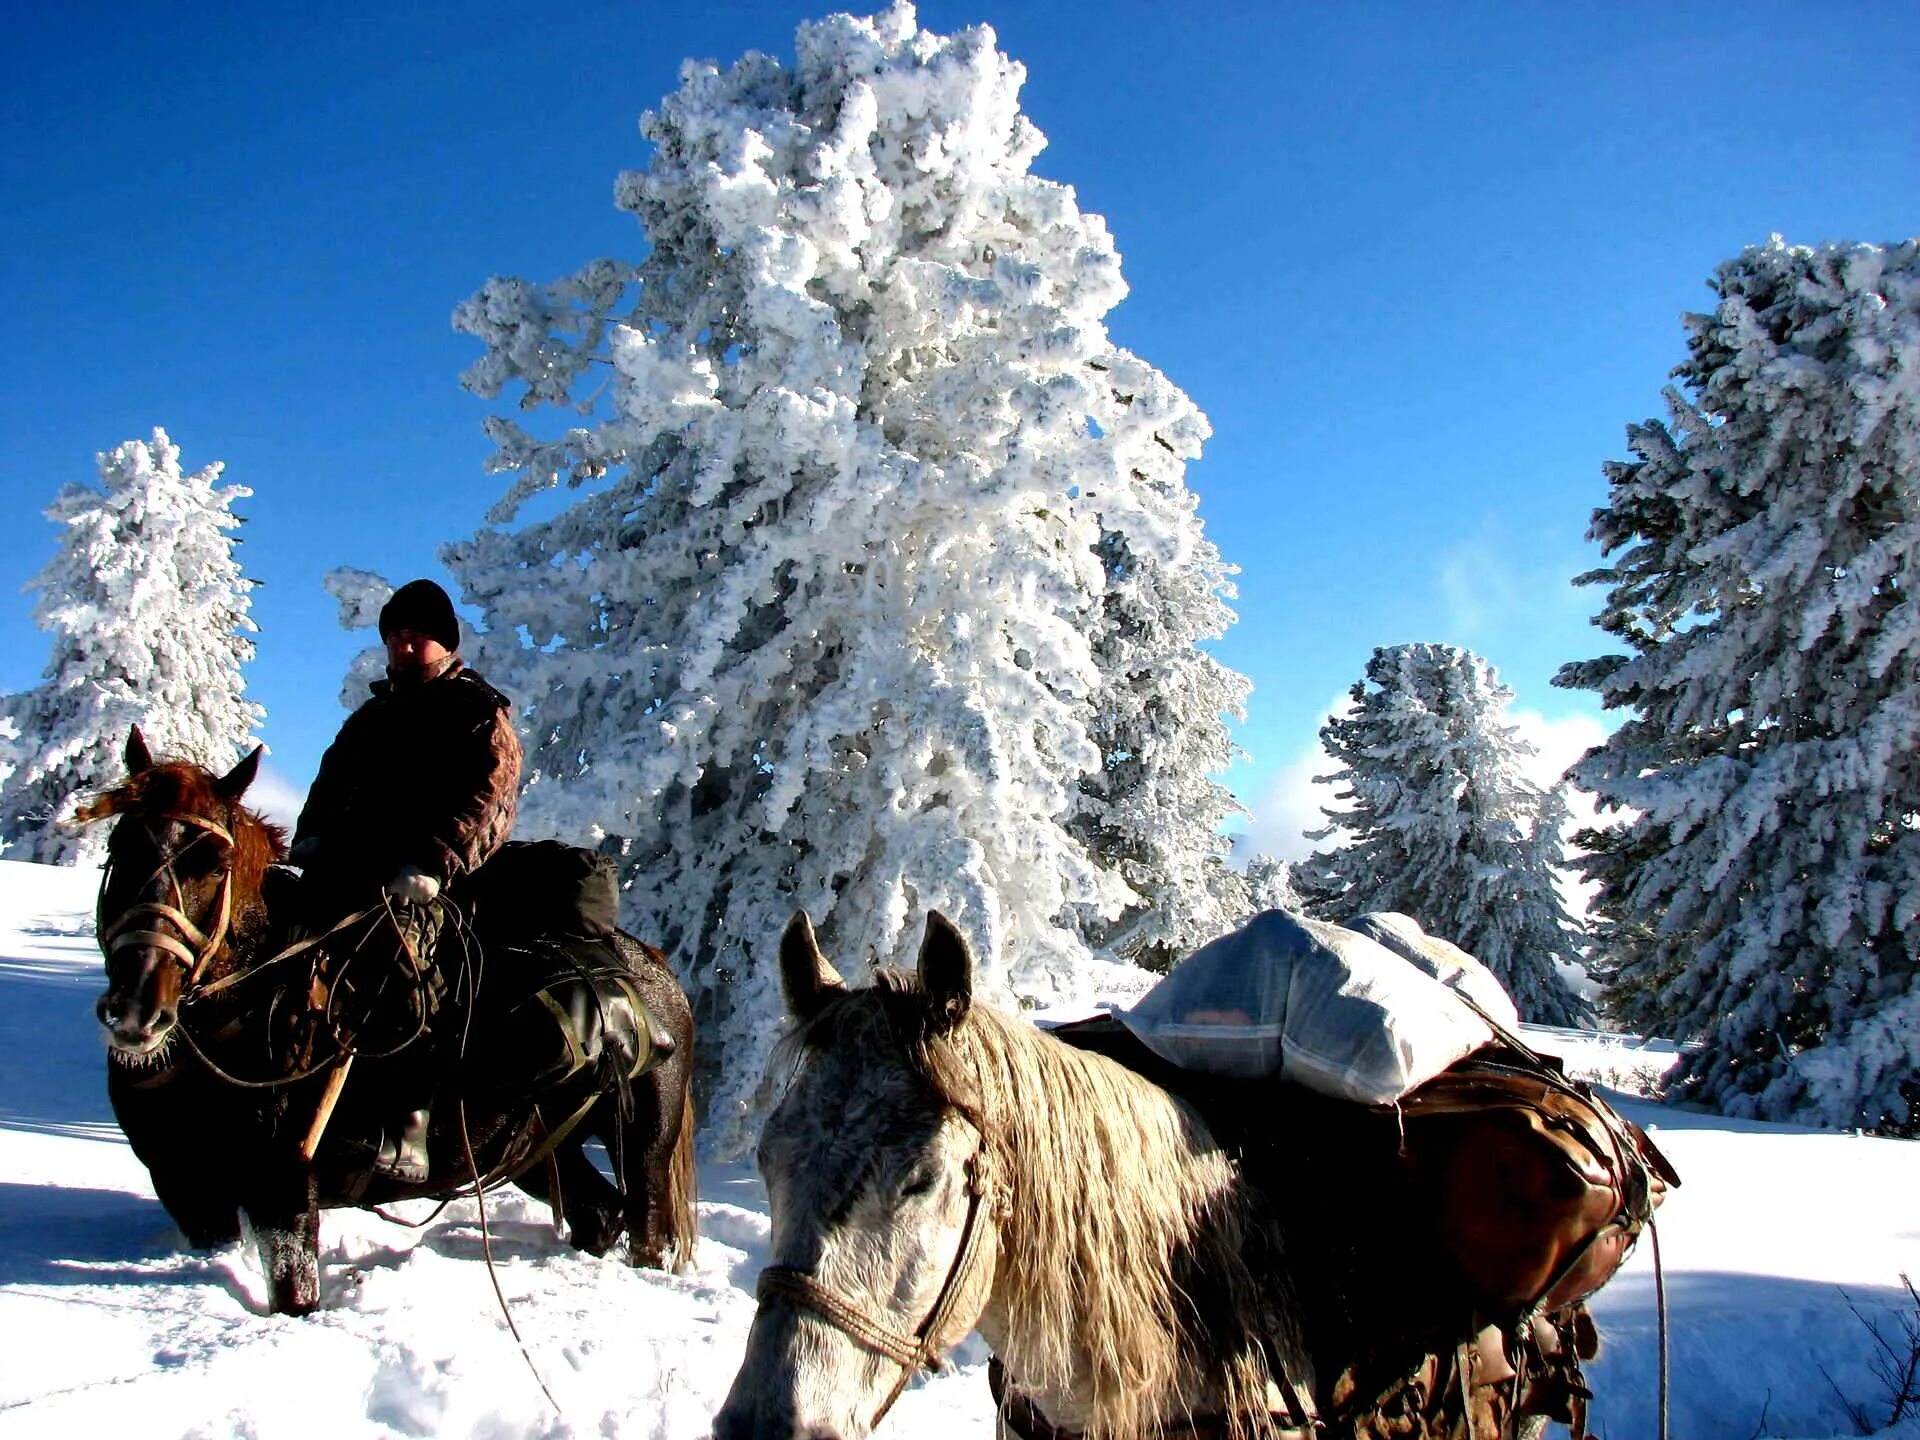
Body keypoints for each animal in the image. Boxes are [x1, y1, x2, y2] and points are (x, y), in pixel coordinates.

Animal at [84, 733, 698, 1320]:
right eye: (119, 848)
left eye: (216, 865)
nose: (138, 1011)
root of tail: (655, 969)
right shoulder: (190, 1194)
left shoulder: (283, 1193)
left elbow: (295, 1298)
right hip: (542, 1148)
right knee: (598, 1213)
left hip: (642, 1147)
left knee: (645, 1231)